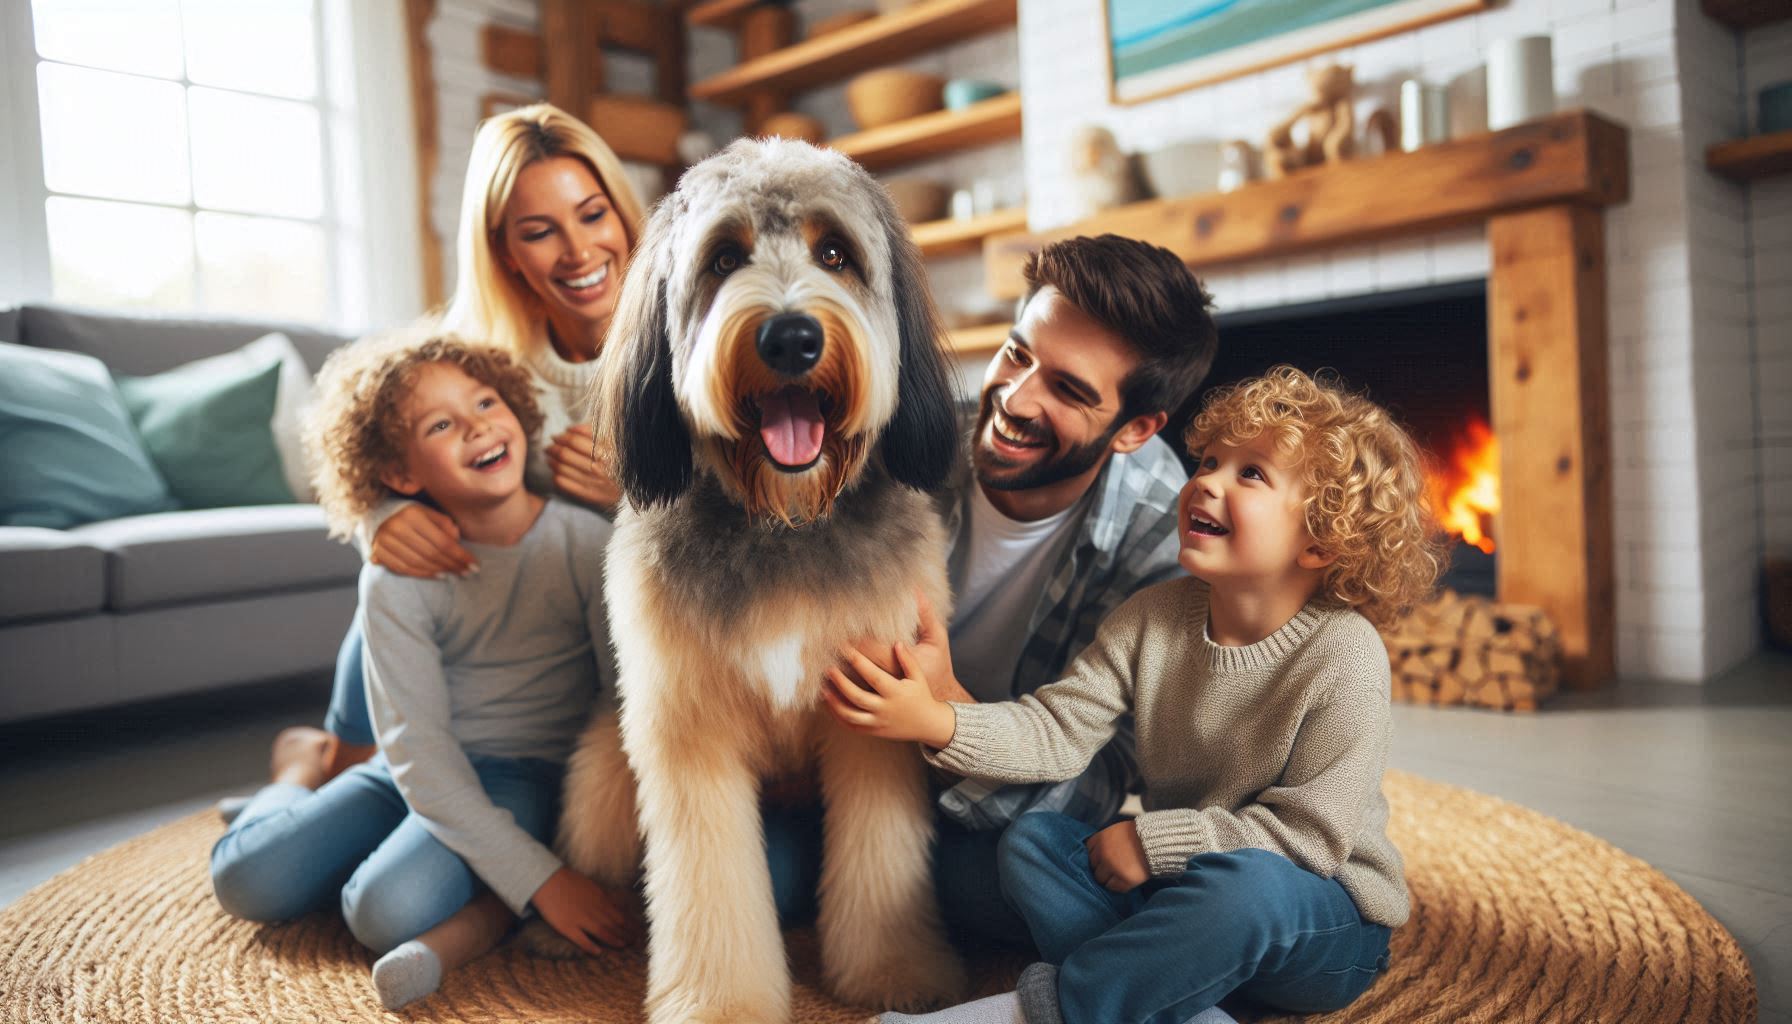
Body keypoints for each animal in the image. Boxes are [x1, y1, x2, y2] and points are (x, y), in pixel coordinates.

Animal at [555, 139, 967, 1024]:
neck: (783, 523)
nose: (790, 338)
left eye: (836, 254)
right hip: (606, 769)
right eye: (724, 258)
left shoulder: (873, 715)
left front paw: (896, 971)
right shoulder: (686, 731)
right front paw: (721, 1003)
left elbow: (881, 856)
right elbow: (708, 888)